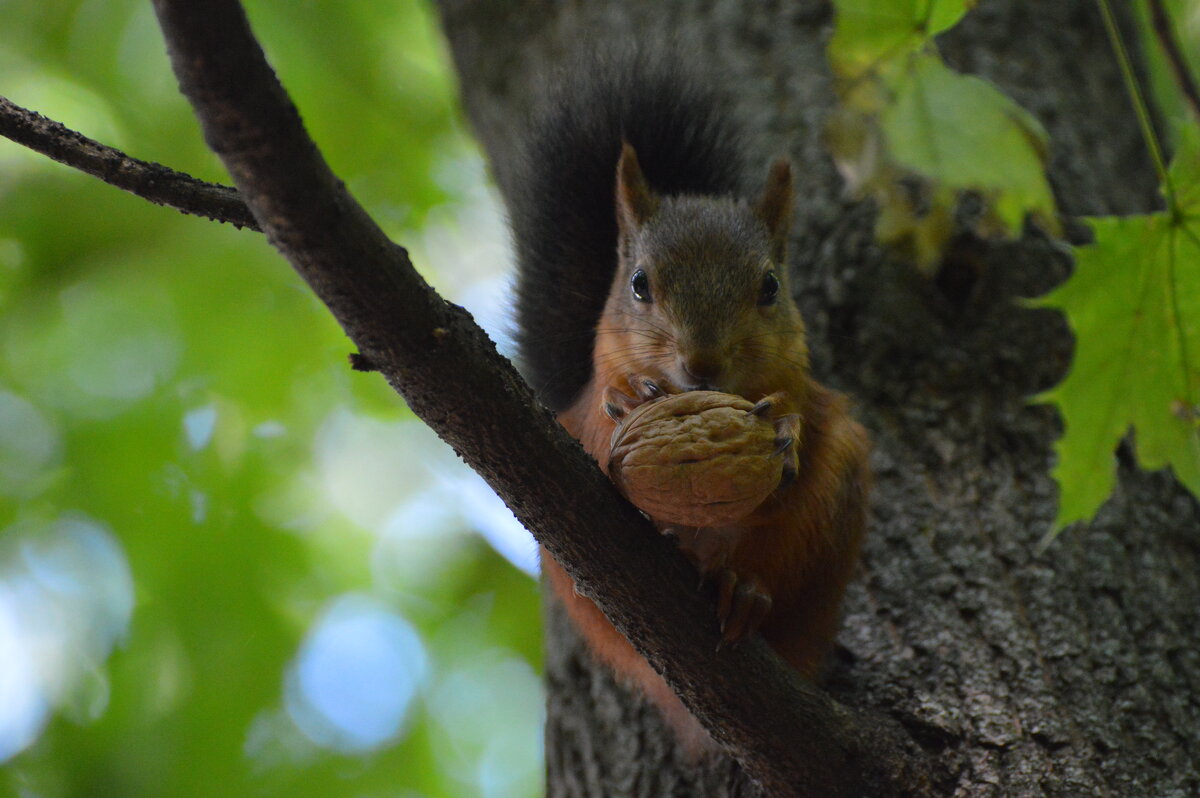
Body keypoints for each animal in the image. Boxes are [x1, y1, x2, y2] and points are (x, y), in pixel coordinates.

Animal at [508, 60, 873, 748]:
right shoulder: (580, 418)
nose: (700, 362)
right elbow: (601, 437)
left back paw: (742, 590)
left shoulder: (801, 391)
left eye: (770, 286)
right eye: (638, 284)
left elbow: (790, 442)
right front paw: (627, 397)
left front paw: (784, 431)